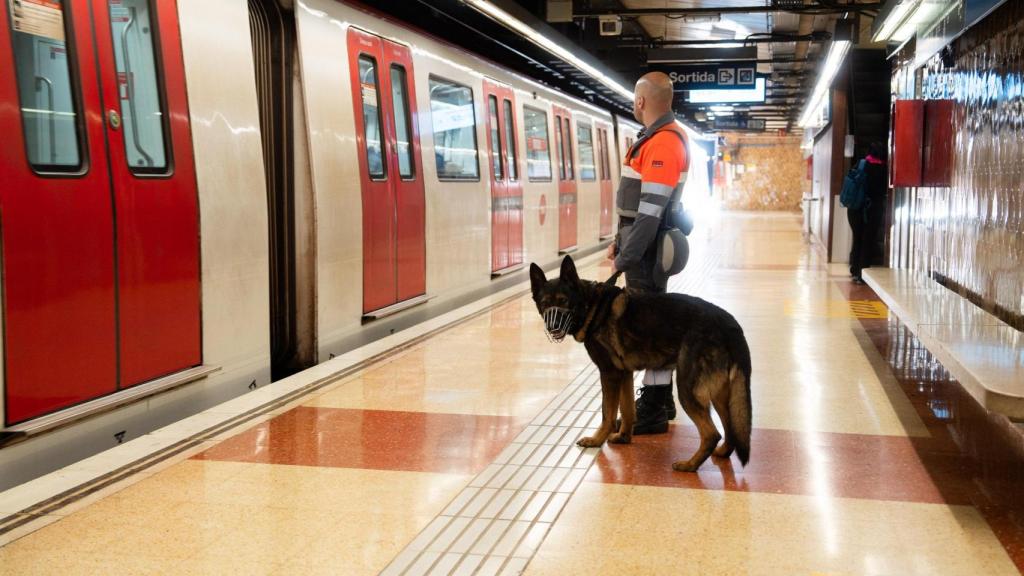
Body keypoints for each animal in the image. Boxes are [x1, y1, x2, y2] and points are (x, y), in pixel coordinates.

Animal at [532, 256, 749, 471]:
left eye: (564, 301)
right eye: (544, 303)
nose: (553, 327)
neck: (592, 306)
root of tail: (730, 324)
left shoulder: (609, 374)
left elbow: (607, 413)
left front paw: (596, 440)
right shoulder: (624, 374)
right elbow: (627, 409)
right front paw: (623, 437)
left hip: (688, 389)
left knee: (712, 433)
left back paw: (690, 465)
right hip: (720, 394)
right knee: (730, 427)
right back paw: (722, 453)